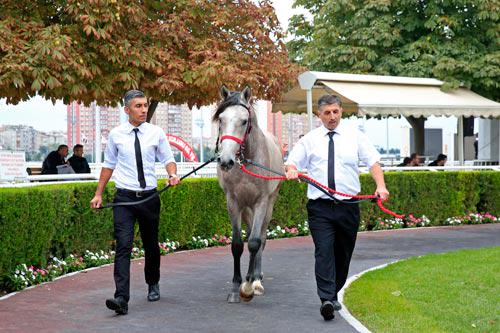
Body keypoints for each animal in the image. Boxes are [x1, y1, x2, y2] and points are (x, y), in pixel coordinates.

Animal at [213, 85, 284, 300]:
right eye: (221, 119)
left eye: (244, 121)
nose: (225, 161)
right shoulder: (233, 202)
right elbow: (237, 244)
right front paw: (237, 284)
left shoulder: (261, 201)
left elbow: (254, 242)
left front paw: (249, 287)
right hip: (246, 208)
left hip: (269, 205)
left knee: (261, 238)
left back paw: (256, 278)